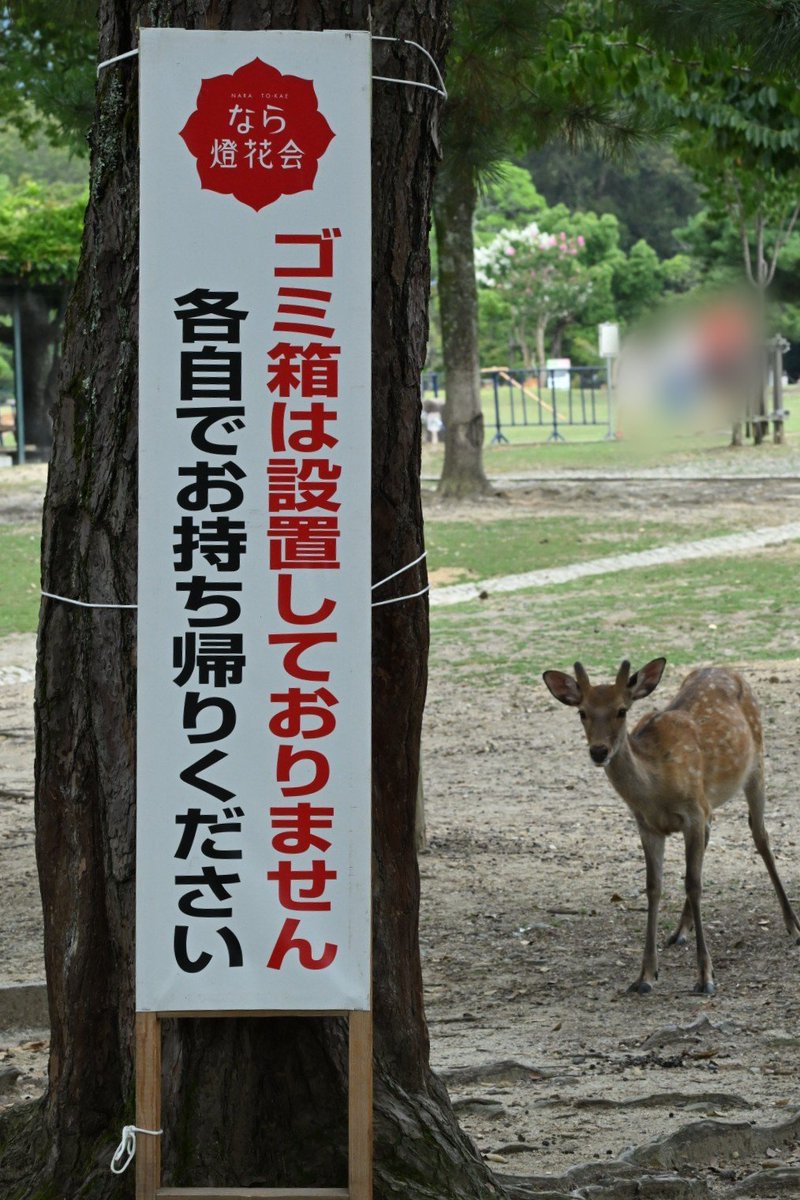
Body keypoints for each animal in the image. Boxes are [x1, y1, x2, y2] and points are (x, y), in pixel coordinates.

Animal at [542, 657, 800, 995]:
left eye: (622, 710)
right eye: (582, 712)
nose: (598, 751)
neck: (656, 787)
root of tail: (726, 669)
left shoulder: (693, 812)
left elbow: (694, 884)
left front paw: (705, 976)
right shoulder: (648, 824)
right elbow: (654, 887)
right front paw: (645, 976)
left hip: (756, 764)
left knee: (760, 836)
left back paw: (793, 924)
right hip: (710, 804)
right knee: (715, 835)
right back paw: (680, 931)